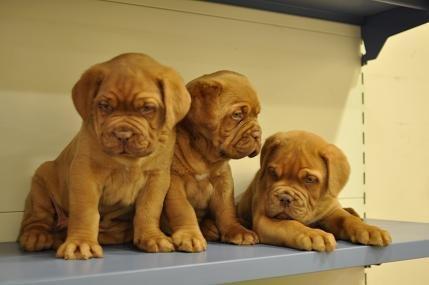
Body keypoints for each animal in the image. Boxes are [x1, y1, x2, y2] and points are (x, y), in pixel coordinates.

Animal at [18, 52, 189, 258]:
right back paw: (36, 236)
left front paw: (152, 237)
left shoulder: (157, 177)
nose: (123, 134)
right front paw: (81, 243)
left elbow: (149, 209)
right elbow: (85, 211)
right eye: (104, 106)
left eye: (147, 108)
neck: (129, 161)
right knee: (37, 217)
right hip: (40, 183)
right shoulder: (85, 174)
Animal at [162, 70, 260, 251]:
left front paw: (237, 231)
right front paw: (190, 235)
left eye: (257, 115)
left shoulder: (223, 181)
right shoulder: (174, 181)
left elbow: (226, 210)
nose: (258, 134)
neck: (203, 155)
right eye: (237, 115)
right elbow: (183, 209)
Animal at [237, 131, 392, 251]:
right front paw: (313, 235)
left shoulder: (332, 211)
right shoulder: (264, 219)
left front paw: (370, 229)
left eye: (309, 179)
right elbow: (290, 224)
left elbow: (348, 219)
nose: (284, 198)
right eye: (272, 172)